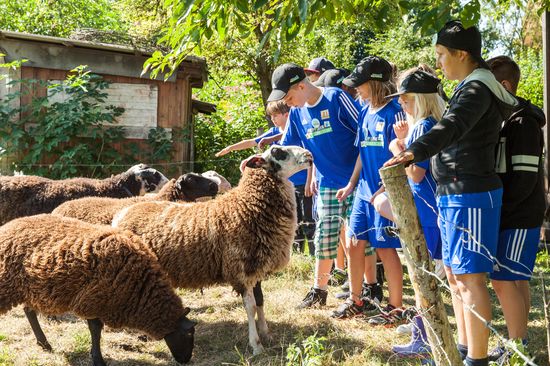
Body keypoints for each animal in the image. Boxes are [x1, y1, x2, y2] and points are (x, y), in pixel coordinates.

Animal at [0, 214, 196, 366]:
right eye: (189, 333)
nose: (186, 360)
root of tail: (7, 226)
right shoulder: (94, 300)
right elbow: (96, 330)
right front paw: (98, 359)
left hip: (29, 290)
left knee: (29, 311)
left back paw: (44, 343)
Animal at [112, 146, 312, 354]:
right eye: (278, 152)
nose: (309, 156)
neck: (245, 207)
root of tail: (121, 214)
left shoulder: (255, 267)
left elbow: (260, 301)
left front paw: (266, 333)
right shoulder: (240, 270)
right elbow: (250, 307)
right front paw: (256, 345)